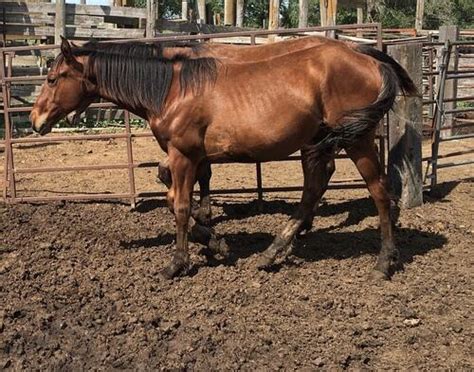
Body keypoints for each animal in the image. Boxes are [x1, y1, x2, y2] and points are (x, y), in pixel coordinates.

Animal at [30, 38, 414, 282]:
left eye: (52, 78)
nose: (35, 120)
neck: (172, 89)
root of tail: (367, 57)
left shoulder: (183, 156)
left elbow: (181, 205)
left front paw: (178, 263)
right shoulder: (191, 158)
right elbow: (175, 198)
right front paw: (214, 242)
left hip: (358, 140)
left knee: (379, 192)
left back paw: (384, 262)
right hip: (319, 142)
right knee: (313, 190)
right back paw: (272, 252)